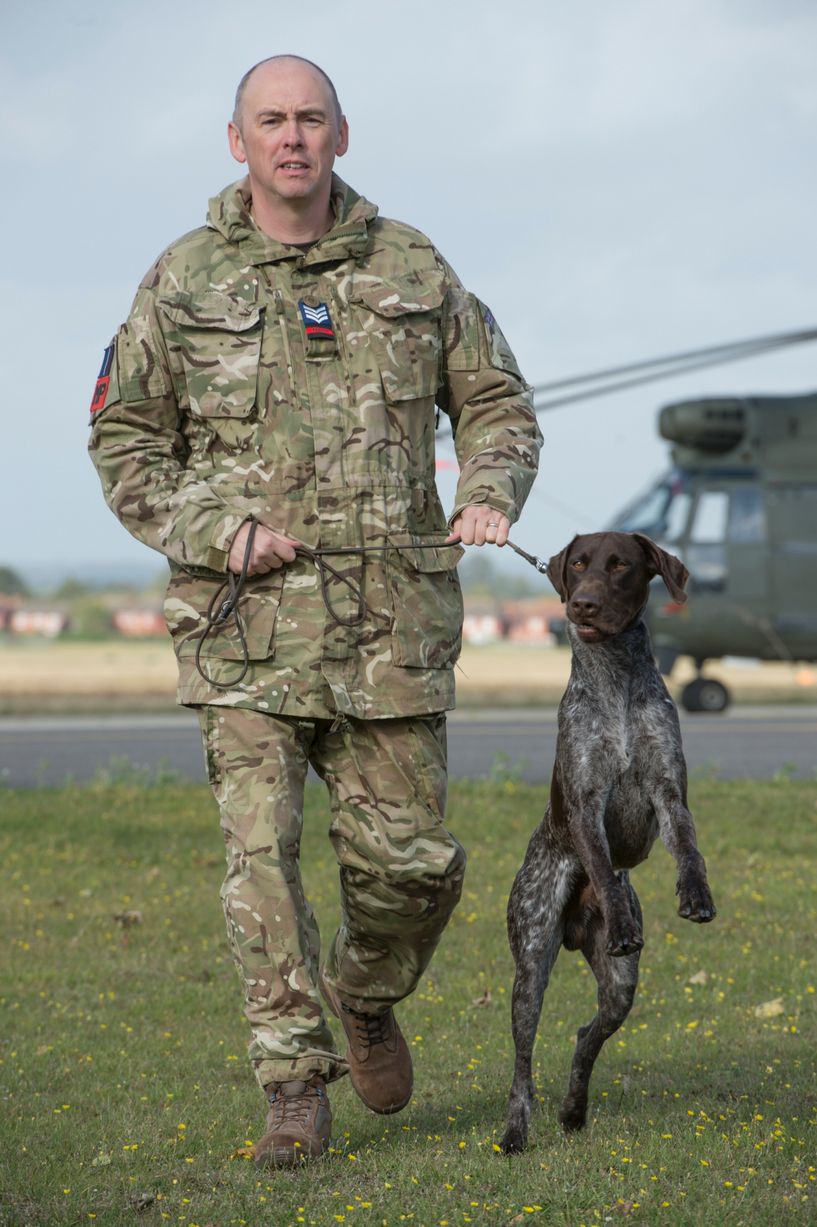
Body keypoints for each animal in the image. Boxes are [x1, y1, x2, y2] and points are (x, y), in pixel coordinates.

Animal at [495, 532, 711, 1153]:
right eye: (578, 564)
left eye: (620, 565)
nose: (582, 605)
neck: (614, 681)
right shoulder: (587, 802)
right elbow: (597, 855)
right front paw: (619, 921)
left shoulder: (668, 793)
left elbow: (690, 849)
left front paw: (696, 895)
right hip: (530, 965)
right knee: (523, 1065)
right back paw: (517, 1130)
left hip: (621, 987)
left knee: (587, 1033)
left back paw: (573, 1108)